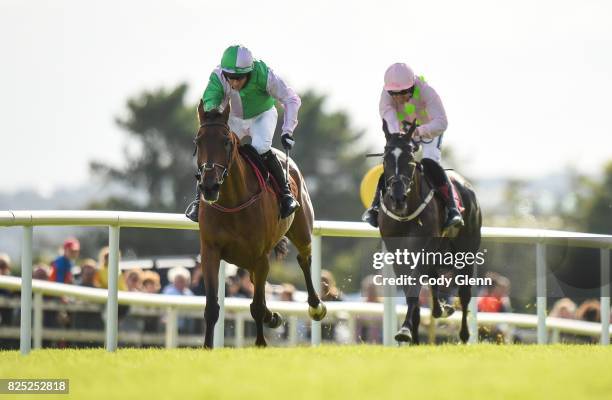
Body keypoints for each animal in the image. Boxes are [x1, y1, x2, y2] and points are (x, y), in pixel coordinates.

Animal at [195, 101, 328, 348]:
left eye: (226, 142)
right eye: (198, 141)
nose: (209, 186)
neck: (233, 202)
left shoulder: (260, 256)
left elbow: (256, 306)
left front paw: (260, 343)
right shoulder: (210, 252)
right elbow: (212, 306)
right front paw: (207, 346)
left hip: (302, 229)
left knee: (304, 258)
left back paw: (316, 306)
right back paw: (272, 316)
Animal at [378, 122, 482, 344]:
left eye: (410, 160)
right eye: (386, 159)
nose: (397, 198)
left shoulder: (425, 246)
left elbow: (415, 285)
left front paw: (405, 330)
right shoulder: (396, 252)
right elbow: (411, 287)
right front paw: (412, 335)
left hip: (466, 251)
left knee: (465, 293)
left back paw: (464, 334)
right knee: (433, 277)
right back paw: (439, 309)